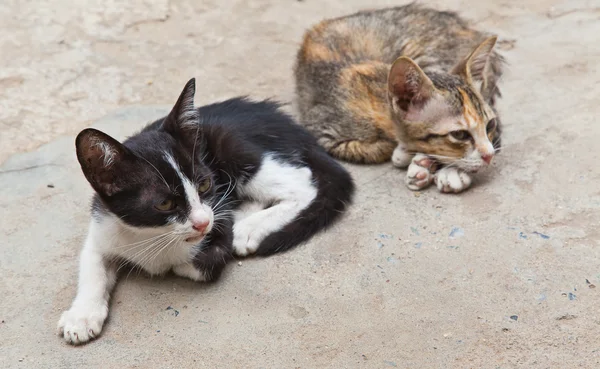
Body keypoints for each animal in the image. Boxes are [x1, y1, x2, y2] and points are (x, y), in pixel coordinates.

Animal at [56, 79, 354, 344]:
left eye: (204, 184)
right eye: (164, 204)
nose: (202, 223)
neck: (151, 236)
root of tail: (291, 124)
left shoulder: (216, 217)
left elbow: (202, 263)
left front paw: (185, 261)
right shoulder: (104, 224)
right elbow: (92, 265)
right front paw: (81, 316)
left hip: (231, 142)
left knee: (302, 183)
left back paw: (248, 227)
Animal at [298, 5, 504, 193]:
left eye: (489, 125)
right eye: (460, 135)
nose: (489, 156)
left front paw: (444, 168)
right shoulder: (323, 132)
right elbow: (378, 149)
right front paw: (407, 153)